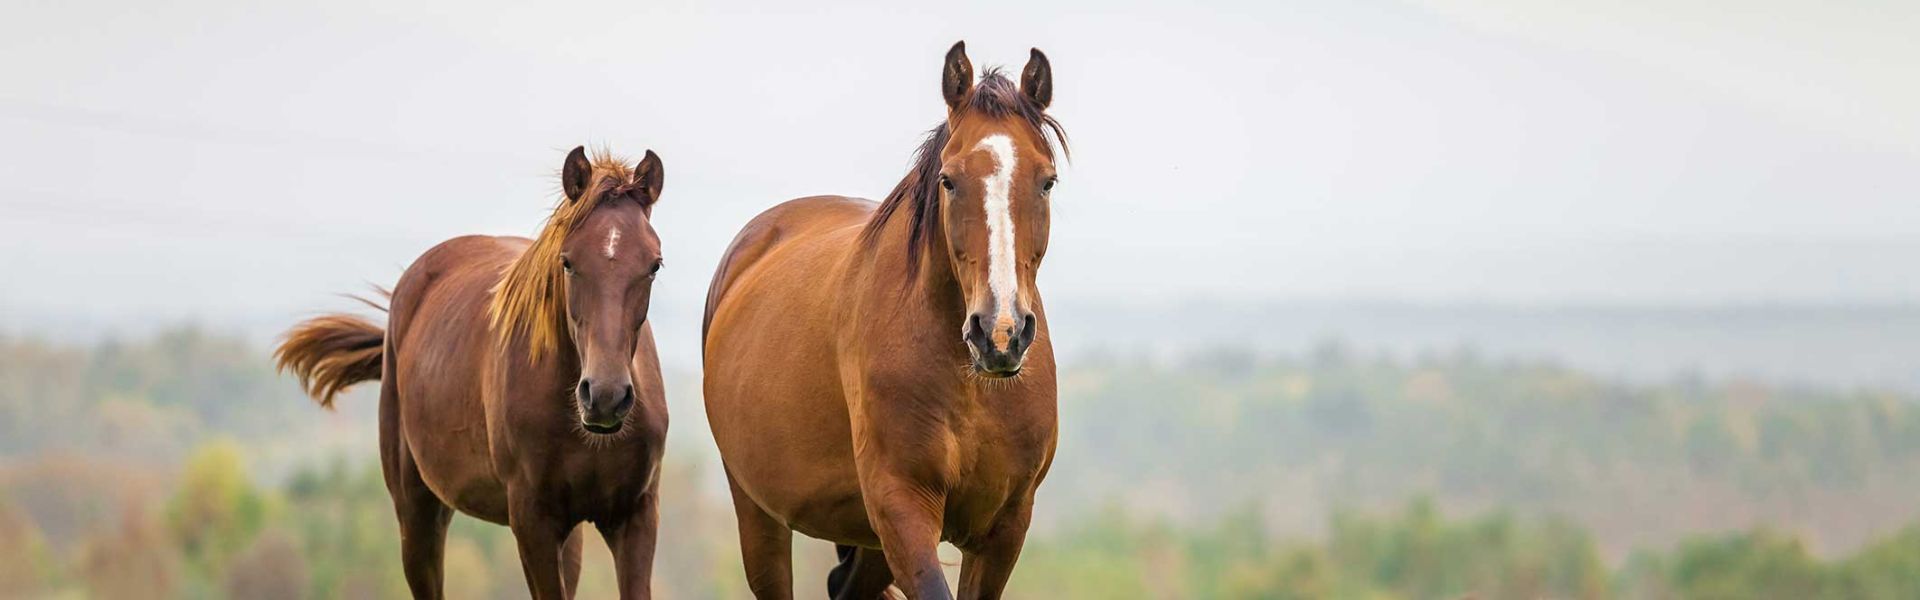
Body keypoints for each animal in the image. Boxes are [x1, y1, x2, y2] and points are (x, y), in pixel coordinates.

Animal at [274, 146, 672, 600]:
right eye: (568, 262)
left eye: (654, 264)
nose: (605, 397)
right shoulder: (532, 522)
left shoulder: (635, 516)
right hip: (417, 513)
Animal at [702, 42, 1067, 600]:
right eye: (949, 180)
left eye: (1046, 181)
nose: (1000, 333)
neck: (971, 386)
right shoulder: (902, 507)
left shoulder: (1005, 525)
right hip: (759, 516)